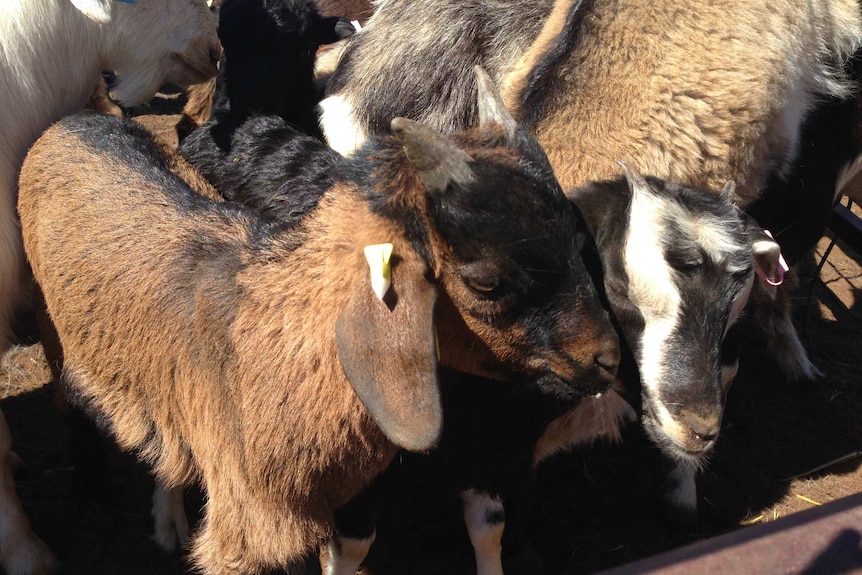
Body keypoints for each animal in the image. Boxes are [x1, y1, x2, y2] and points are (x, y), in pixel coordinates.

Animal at [20, 79, 620, 572]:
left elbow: (486, 529)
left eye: (579, 239)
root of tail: (78, 120)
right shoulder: (258, 526)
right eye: (486, 283)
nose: (608, 358)